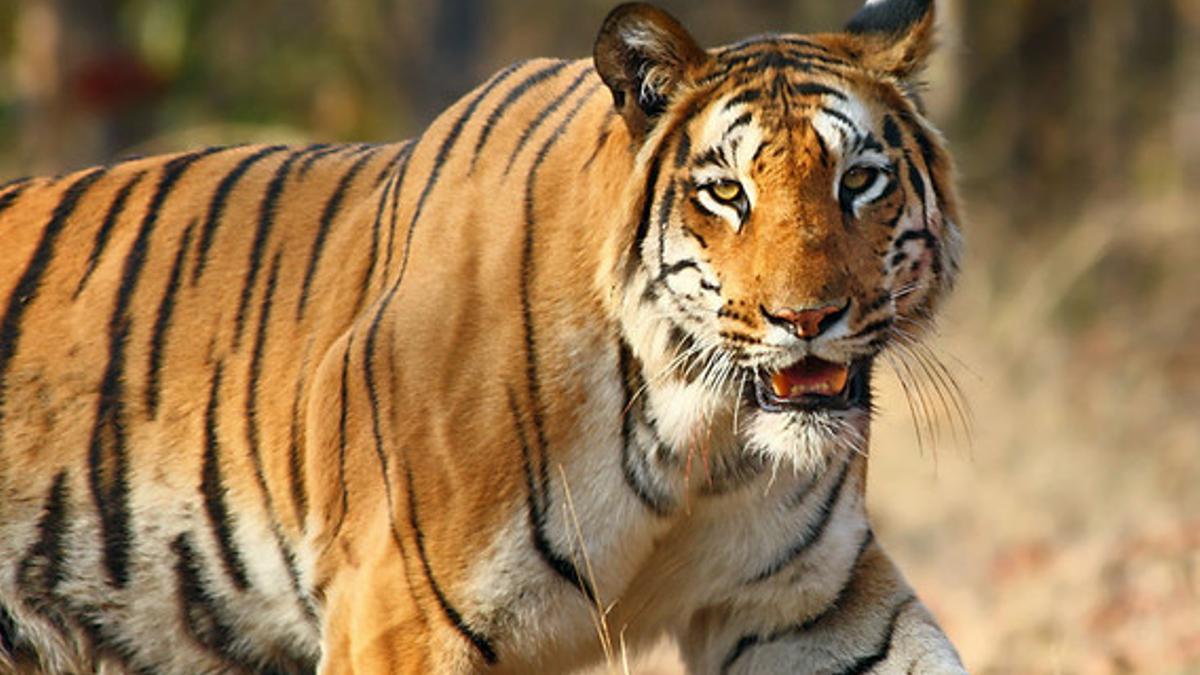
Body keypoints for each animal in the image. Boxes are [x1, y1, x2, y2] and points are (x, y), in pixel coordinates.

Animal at [0, 0, 964, 667]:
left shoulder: (805, 604)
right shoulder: (398, 614)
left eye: (860, 181)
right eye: (726, 192)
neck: (698, 439)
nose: (807, 318)